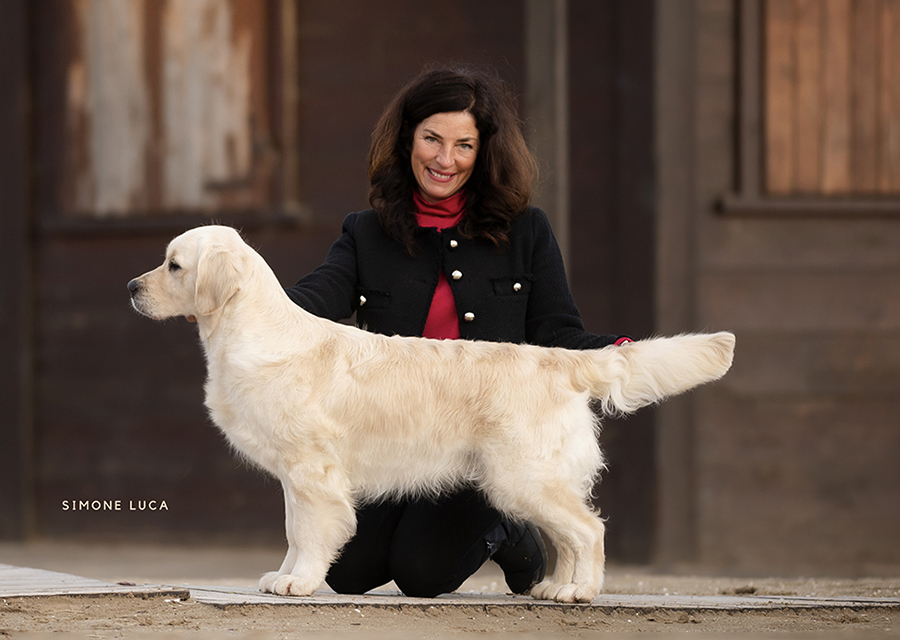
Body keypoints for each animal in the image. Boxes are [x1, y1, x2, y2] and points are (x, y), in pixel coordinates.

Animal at [125, 226, 732, 604]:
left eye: (173, 265)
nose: (131, 287)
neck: (251, 331)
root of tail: (560, 359)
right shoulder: (295, 476)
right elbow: (295, 530)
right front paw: (284, 575)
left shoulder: (313, 471)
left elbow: (314, 532)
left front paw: (300, 582)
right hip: (531, 480)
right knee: (566, 535)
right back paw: (554, 587)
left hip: (523, 476)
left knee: (588, 530)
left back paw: (579, 591)